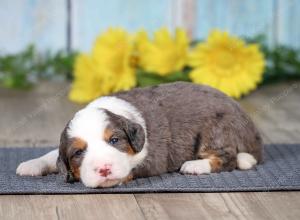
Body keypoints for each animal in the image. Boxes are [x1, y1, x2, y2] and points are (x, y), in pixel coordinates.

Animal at [17, 81, 264, 188]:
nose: (104, 169)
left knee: (228, 158)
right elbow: (52, 154)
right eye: (78, 152)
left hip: (216, 130)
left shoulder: (154, 158)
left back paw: (195, 165)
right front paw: (31, 164)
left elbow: (131, 168)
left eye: (114, 140)